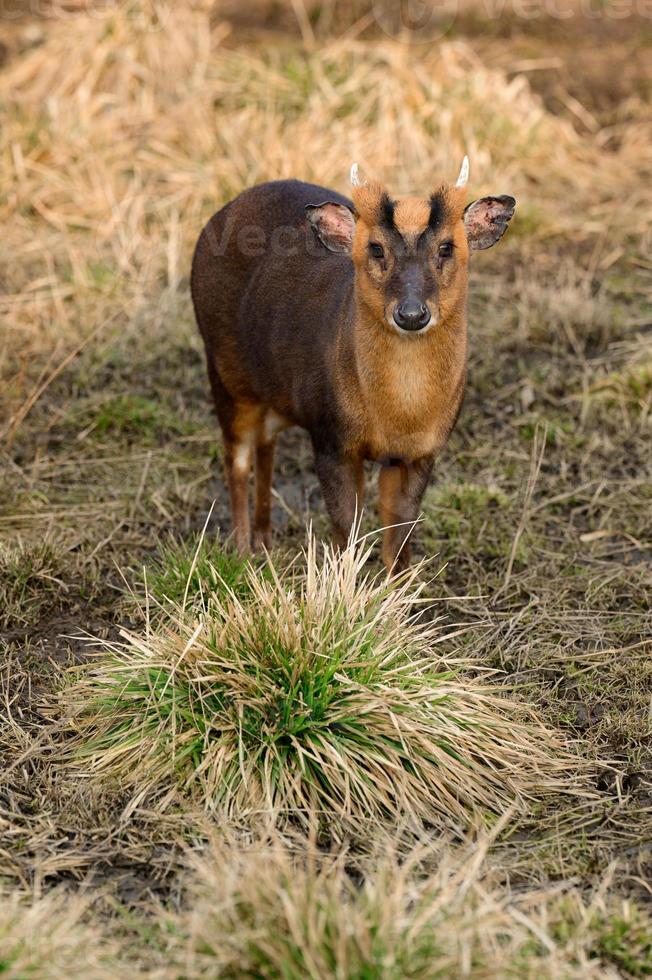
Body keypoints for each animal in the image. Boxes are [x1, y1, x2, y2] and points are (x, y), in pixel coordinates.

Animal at [191, 162, 516, 572]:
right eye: (375, 248)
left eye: (447, 246)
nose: (412, 314)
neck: (400, 415)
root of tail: (220, 214)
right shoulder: (332, 437)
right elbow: (347, 530)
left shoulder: (420, 453)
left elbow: (399, 536)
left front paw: (400, 588)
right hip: (225, 373)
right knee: (237, 459)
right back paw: (243, 552)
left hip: (276, 393)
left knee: (266, 443)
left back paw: (265, 541)